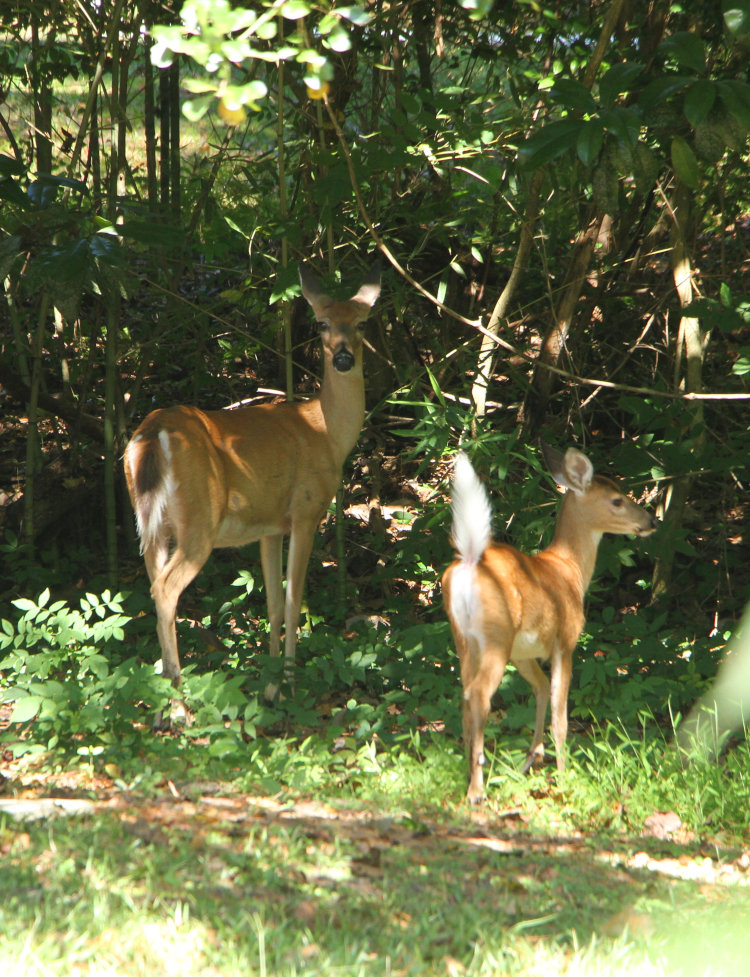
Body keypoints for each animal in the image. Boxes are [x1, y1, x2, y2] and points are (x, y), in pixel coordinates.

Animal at [125, 264, 382, 712]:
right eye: (321, 323)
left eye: (362, 322)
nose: (343, 358)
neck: (327, 432)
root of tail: (154, 433)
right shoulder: (306, 511)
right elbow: (295, 601)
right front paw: (292, 685)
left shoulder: (269, 526)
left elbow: (274, 603)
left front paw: (272, 687)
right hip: (200, 518)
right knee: (166, 589)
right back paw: (178, 706)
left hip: (153, 525)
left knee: (154, 586)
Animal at [444, 446, 660, 804]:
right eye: (617, 500)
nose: (650, 521)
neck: (569, 570)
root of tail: (473, 561)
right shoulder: (565, 641)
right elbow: (561, 714)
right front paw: (563, 774)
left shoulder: (524, 652)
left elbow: (542, 688)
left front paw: (533, 757)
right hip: (496, 636)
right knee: (479, 694)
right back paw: (477, 788)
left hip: (464, 639)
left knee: (464, 696)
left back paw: (467, 773)